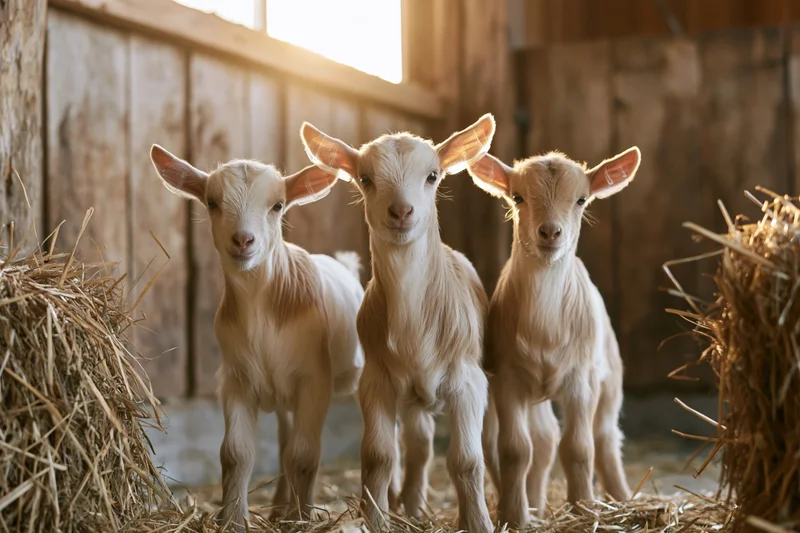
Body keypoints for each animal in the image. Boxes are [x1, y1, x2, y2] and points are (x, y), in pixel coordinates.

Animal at [150, 146, 365, 529]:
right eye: (212, 202)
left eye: (278, 205)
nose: (243, 240)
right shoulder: (235, 380)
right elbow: (236, 453)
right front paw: (233, 520)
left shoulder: (315, 381)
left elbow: (305, 455)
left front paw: (300, 520)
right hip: (282, 397)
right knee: (284, 443)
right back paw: (279, 507)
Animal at [298, 115, 497, 533]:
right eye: (365, 178)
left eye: (433, 175)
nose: (401, 211)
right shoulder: (376, 381)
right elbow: (379, 457)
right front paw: (376, 517)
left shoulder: (468, 381)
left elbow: (467, 461)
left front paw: (478, 522)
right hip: (412, 397)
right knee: (419, 444)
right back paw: (412, 505)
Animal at [468, 147, 640, 528]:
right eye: (517, 197)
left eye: (581, 199)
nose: (549, 232)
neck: (544, 327)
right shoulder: (508, 379)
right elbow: (516, 450)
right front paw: (515, 516)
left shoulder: (581, 379)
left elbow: (578, 447)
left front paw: (584, 510)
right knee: (545, 441)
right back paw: (535, 503)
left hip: (611, 378)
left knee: (605, 437)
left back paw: (621, 497)